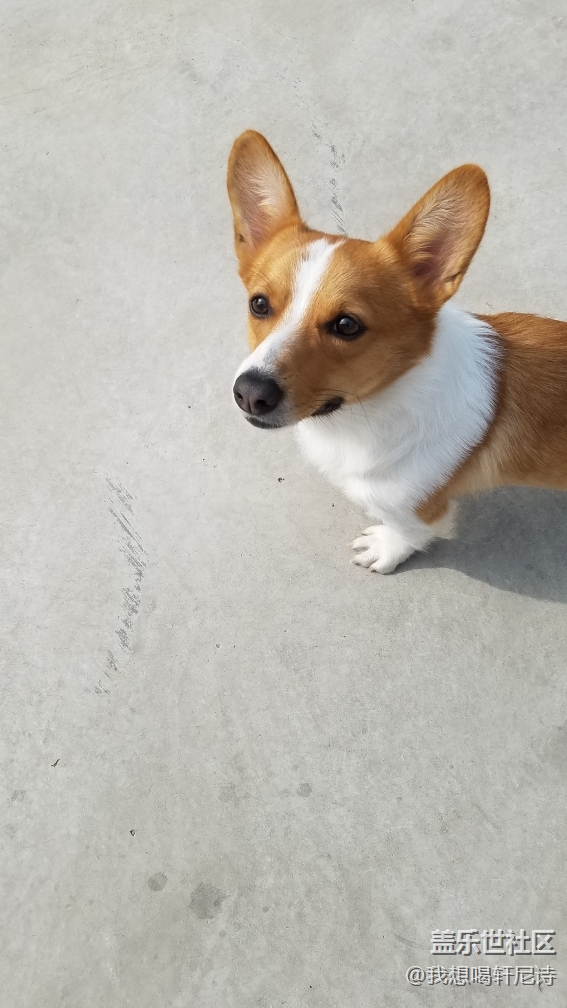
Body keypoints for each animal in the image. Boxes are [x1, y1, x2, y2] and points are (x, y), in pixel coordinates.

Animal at [228, 130, 567, 573]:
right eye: (259, 304)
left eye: (347, 325)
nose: (251, 393)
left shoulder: (415, 509)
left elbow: (408, 534)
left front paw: (385, 550)